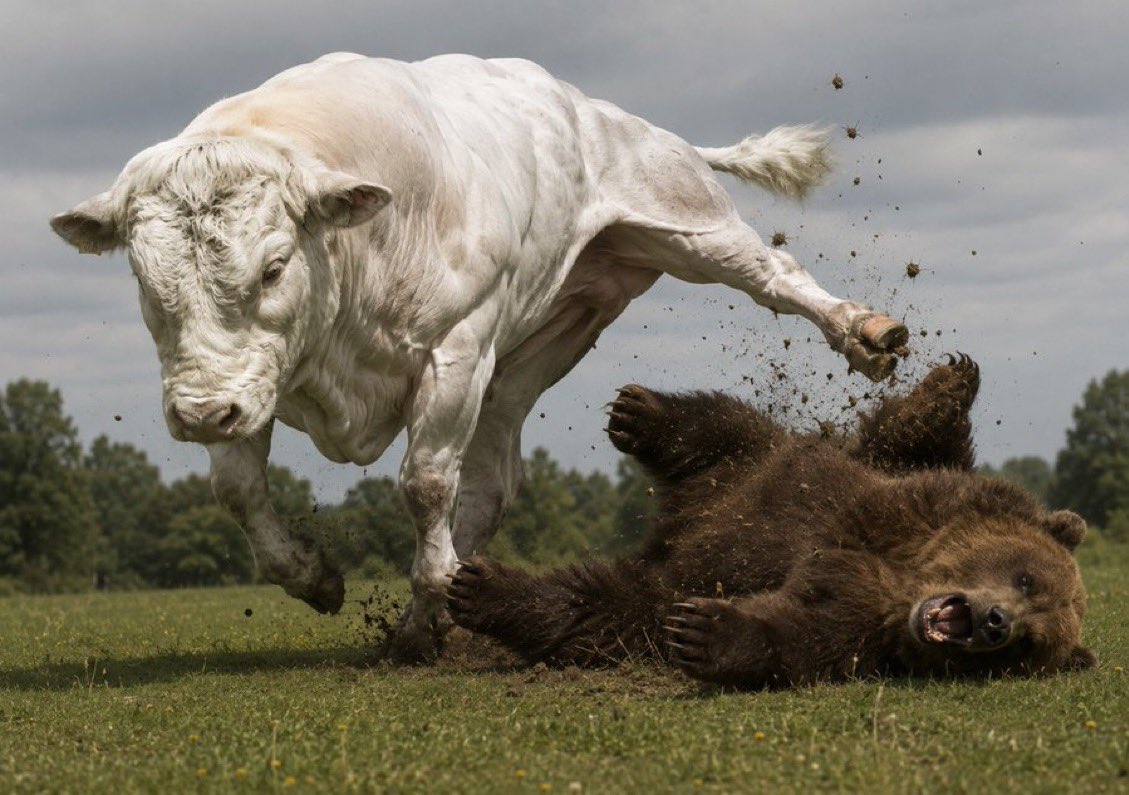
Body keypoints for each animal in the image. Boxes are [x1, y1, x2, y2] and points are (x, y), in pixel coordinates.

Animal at [446, 355, 1095, 688]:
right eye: (1026, 578)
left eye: (1030, 645)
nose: (996, 624)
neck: (903, 574)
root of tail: (673, 530)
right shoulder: (897, 499)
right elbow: (908, 440)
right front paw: (952, 381)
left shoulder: (859, 621)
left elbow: (797, 630)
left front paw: (706, 631)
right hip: (745, 466)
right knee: (721, 427)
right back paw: (639, 412)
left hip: (651, 594)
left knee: (594, 609)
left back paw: (483, 589)